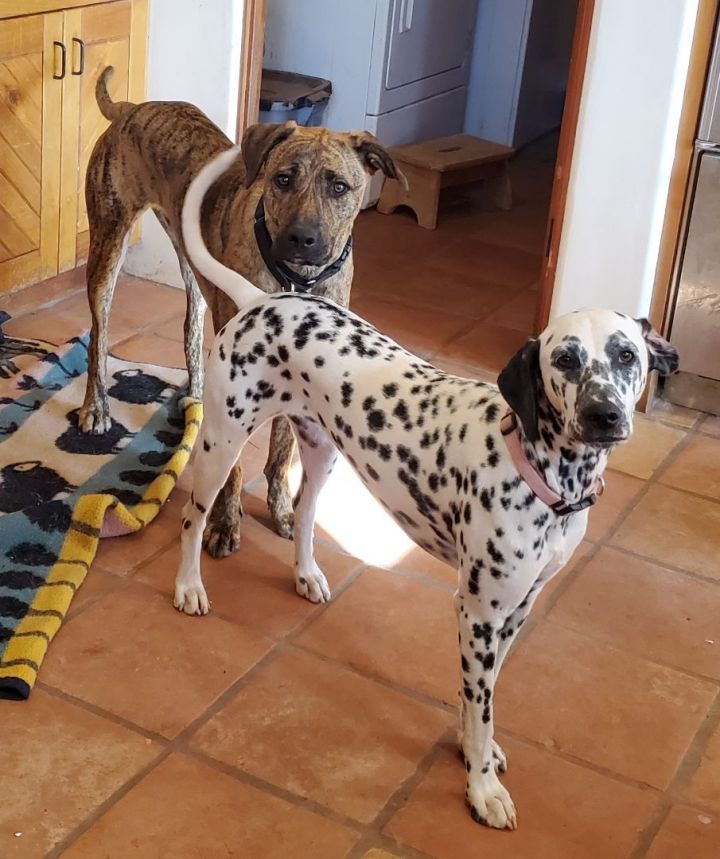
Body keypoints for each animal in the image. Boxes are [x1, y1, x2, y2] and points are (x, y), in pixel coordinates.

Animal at [81, 63, 402, 556]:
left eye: (339, 187)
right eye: (282, 179)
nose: (302, 238)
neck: (296, 278)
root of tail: (132, 108)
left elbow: (281, 451)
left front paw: (283, 511)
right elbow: (232, 464)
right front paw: (225, 522)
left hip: (191, 266)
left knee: (191, 327)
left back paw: (194, 395)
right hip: (108, 240)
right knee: (98, 334)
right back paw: (96, 407)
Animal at [172, 149, 676, 832]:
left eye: (626, 355)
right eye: (566, 359)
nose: (604, 416)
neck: (541, 470)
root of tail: (262, 299)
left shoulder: (518, 609)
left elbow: (479, 700)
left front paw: (471, 749)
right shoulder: (480, 613)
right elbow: (480, 704)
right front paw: (483, 786)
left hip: (321, 452)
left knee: (301, 513)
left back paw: (307, 574)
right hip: (221, 443)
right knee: (193, 520)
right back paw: (189, 587)